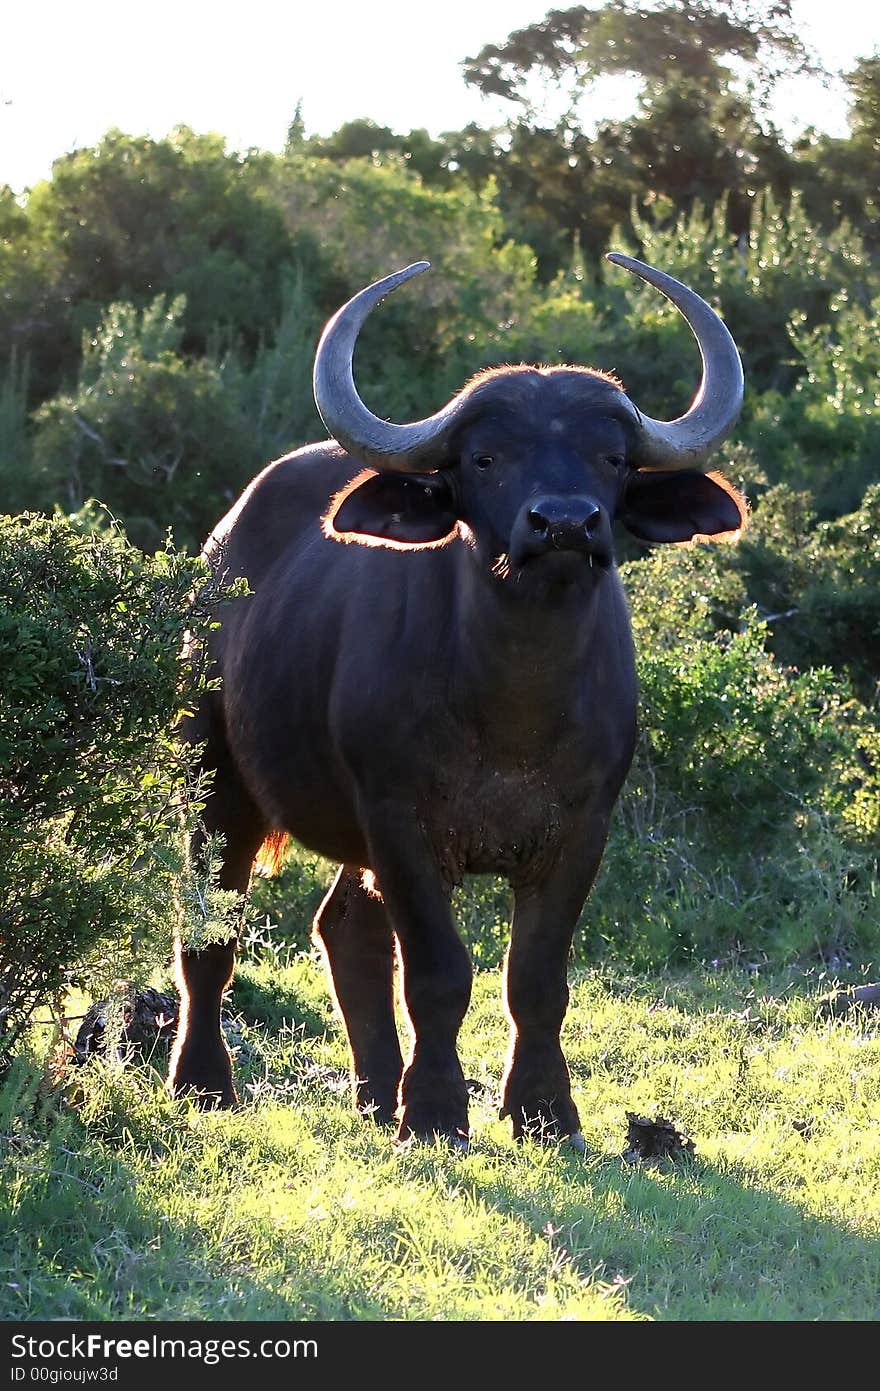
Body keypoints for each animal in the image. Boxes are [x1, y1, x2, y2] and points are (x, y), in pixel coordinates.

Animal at [168, 255, 745, 1146]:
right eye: (484, 457)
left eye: (611, 457)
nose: (564, 525)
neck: (513, 708)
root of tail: (219, 547)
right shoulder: (400, 822)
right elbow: (439, 973)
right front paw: (437, 1110)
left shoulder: (581, 831)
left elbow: (536, 977)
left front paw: (543, 1110)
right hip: (215, 779)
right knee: (210, 929)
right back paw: (205, 1082)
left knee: (347, 927)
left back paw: (376, 1093)